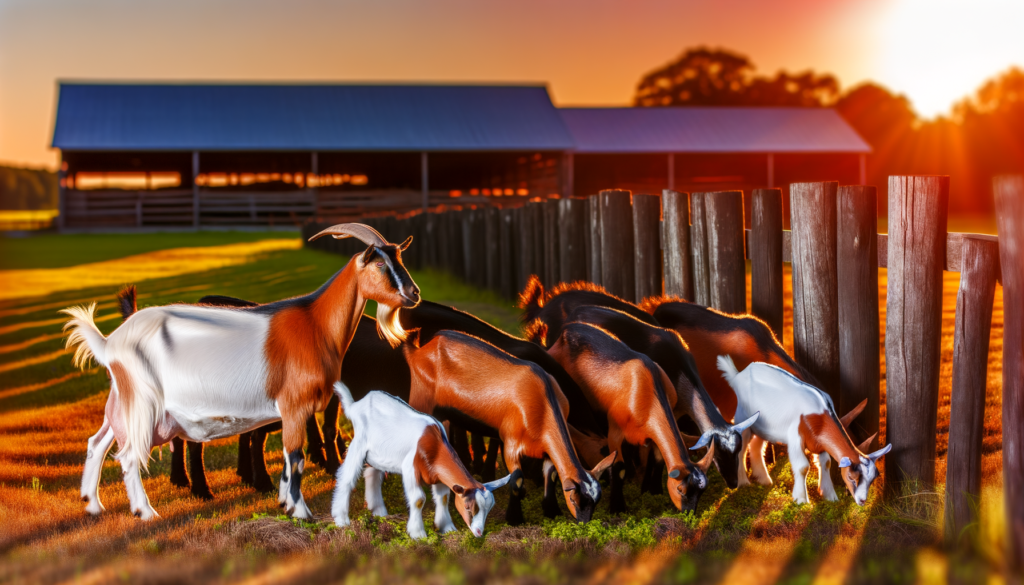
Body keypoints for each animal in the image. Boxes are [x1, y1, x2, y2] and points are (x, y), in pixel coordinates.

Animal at [69, 223, 419, 520]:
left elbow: (289, 457)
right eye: (379, 265)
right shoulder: (293, 404)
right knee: (130, 453)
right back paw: (148, 511)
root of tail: (111, 341)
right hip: (144, 400)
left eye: (400, 259)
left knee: (98, 442)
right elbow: (296, 457)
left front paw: (284, 502)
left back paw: (93, 504)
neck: (314, 324)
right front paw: (301, 513)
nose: (414, 293)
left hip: (124, 398)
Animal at [332, 381, 515, 538]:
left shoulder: (439, 474)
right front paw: (418, 534)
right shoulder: (410, 468)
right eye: (468, 507)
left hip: (378, 453)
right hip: (359, 443)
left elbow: (443, 498)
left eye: (489, 509)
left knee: (373, 475)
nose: (479, 532)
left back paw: (379, 512)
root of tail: (356, 405)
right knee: (347, 478)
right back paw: (341, 519)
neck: (434, 443)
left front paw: (447, 528)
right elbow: (419, 499)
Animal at [404, 329, 615, 525]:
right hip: (421, 399)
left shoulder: (546, 449)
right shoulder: (511, 443)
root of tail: (420, 349)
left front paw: (551, 510)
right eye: (574, 499)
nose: (584, 522)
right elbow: (517, 479)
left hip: (444, 415)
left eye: (595, 502)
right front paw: (515, 518)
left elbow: (551, 474)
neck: (544, 403)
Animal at [547, 322, 714, 514]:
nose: (689, 513)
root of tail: (566, 330)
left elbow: (657, 458)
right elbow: (619, 467)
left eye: (701, 492)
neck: (648, 392)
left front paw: (653, 491)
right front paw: (616, 506)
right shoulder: (615, 431)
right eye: (681, 490)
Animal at [716, 356, 890, 505]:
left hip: (762, 426)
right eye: (851, 476)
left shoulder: (820, 443)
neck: (820, 414)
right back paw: (743, 483)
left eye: (872, 479)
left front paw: (829, 496)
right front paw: (801, 499)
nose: (862, 501)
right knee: (741, 449)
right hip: (742, 418)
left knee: (757, 446)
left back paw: (764, 480)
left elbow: (826, 463)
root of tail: (738, 375)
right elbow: (803, 467)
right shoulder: (795, 437)